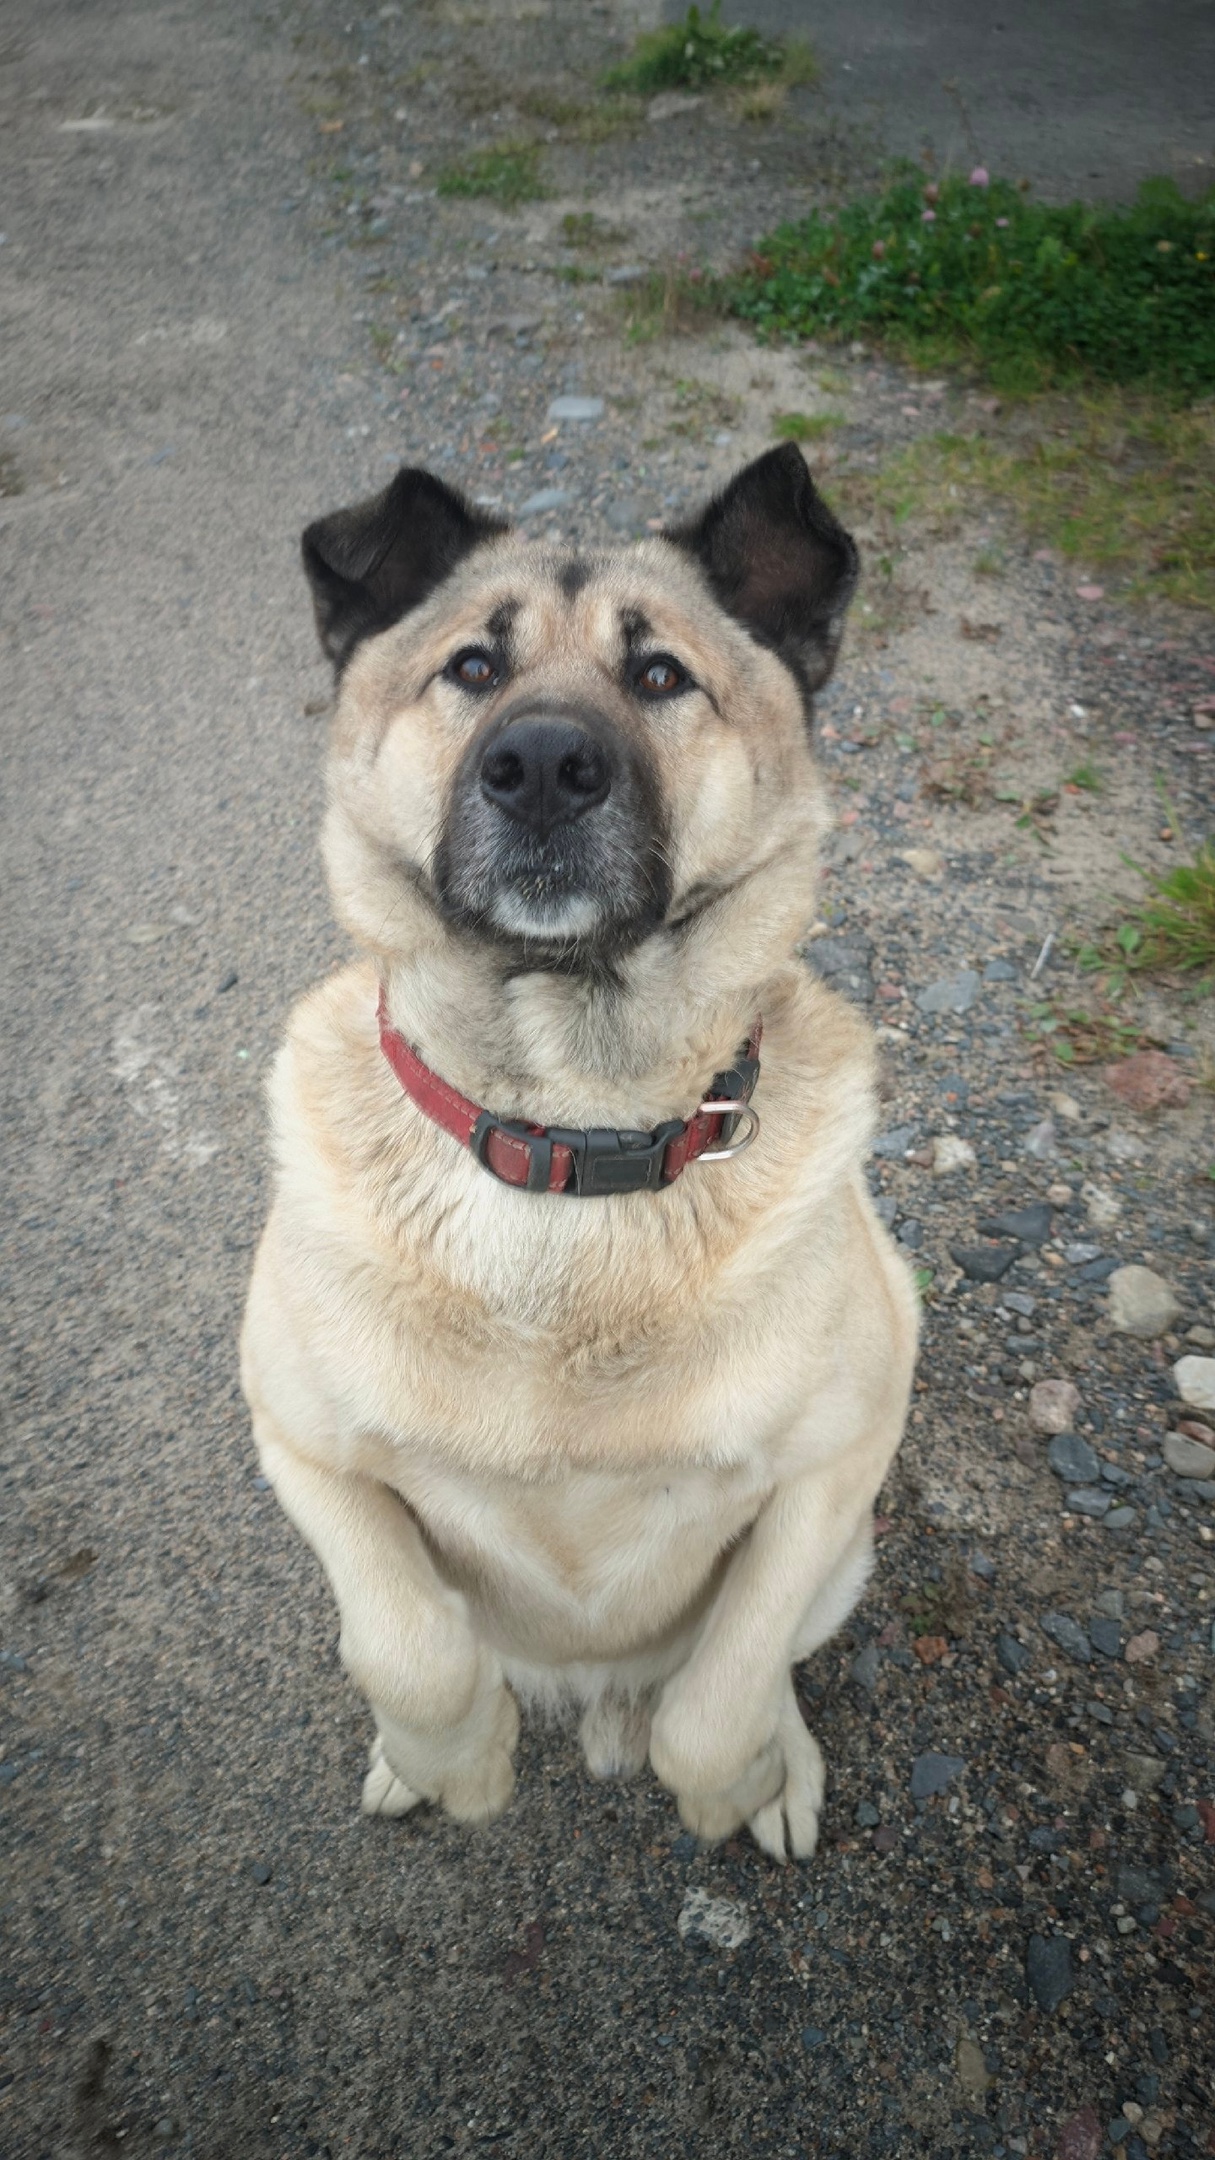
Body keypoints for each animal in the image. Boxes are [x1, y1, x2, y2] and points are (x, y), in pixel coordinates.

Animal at [241, 447, 912, 1866]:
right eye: (470, 668)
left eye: (659, 676)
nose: (543, 763)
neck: (566, 1136)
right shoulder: (308, 1454)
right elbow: (411, 1647)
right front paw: (453, 1765)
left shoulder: (831, 1473)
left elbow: (721, 1694)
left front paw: (729, 1781)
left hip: (847, 1559)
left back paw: (776, 1765)